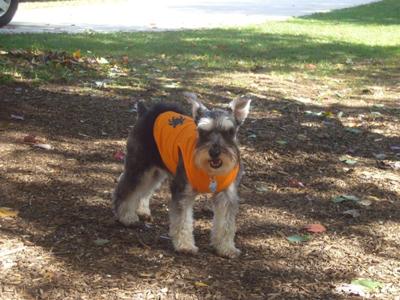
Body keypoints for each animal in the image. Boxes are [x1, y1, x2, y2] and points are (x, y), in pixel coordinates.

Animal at [111, 92, 250, 258]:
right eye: (202, 132)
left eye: (229, 132)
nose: (214, 152)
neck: (211, 173)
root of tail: (146, 112)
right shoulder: (183, 191)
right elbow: (182, 220)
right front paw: (185, 245)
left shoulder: (227, 195)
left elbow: (226, 224)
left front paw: (226, 247)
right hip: (140, 166)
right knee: (126, 188)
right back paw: (126, 217)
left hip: (156, 171)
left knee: (145, 191)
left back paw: (142, 210)